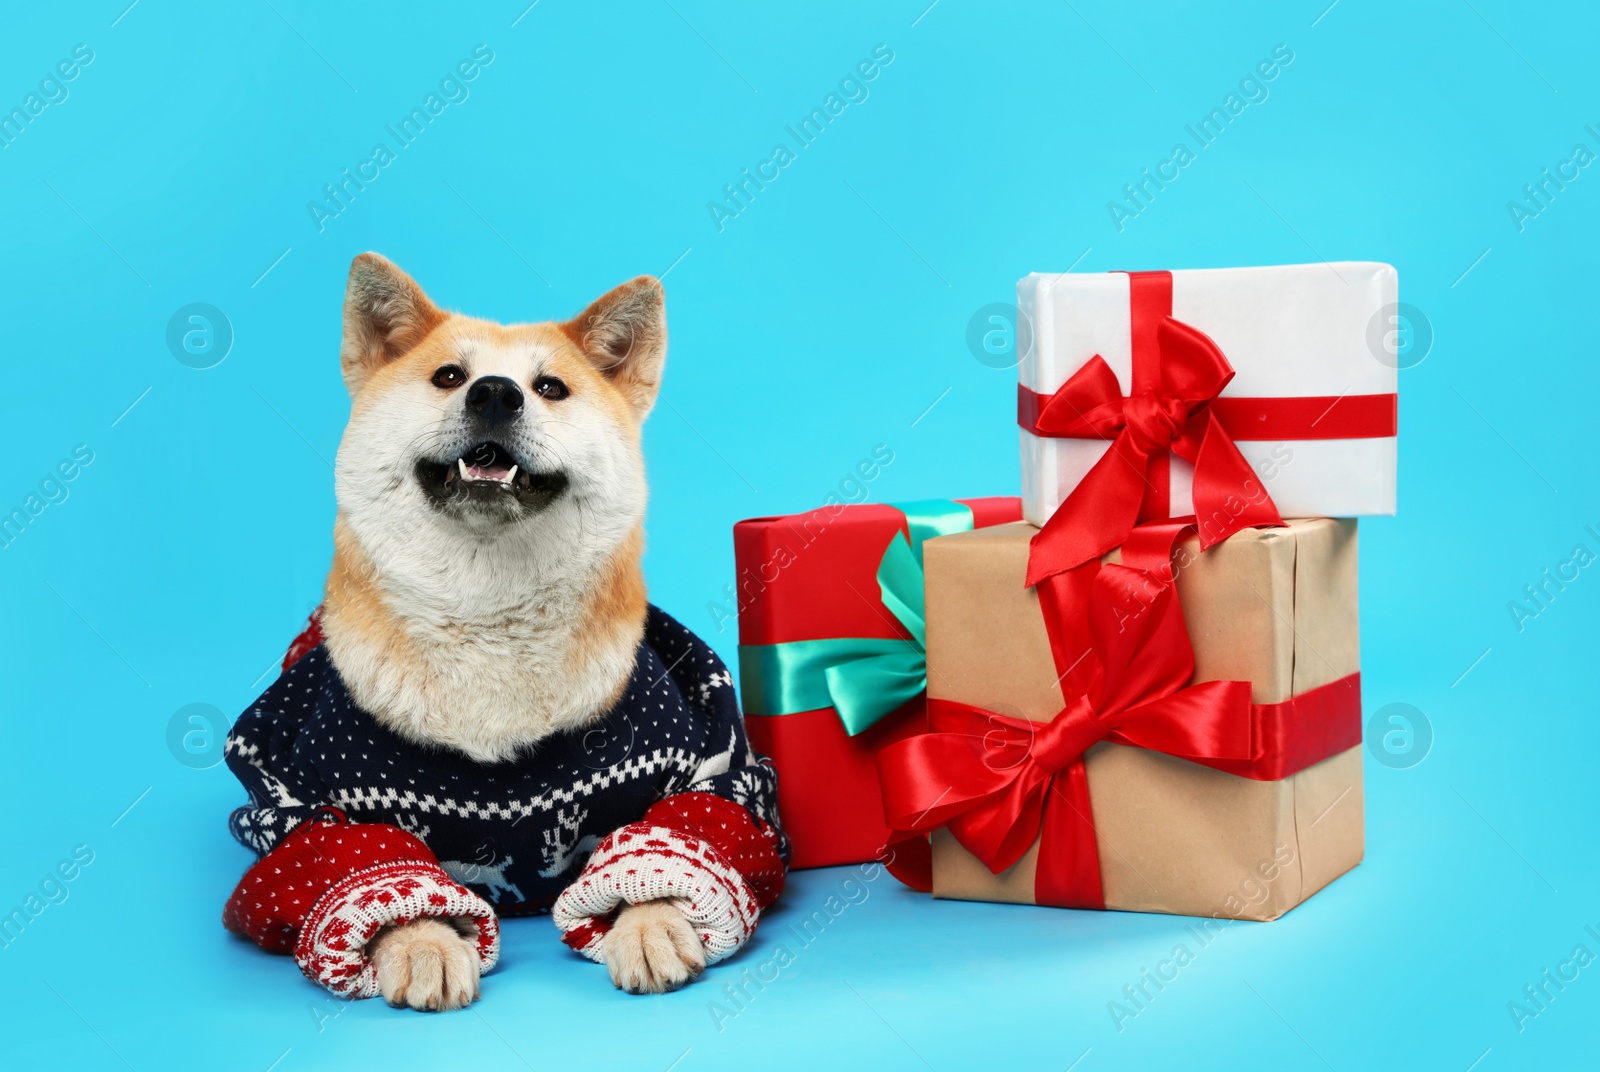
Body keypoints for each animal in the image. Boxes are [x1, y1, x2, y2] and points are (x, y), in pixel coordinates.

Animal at [224, 256, 787, 1011]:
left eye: (550, 387)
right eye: (448, 376)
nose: (496, 394)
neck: (488, 615)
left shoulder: (714, 767)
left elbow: (676, 834)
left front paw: (650, 920)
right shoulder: (298, 804)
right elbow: (365, 862)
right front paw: (422, 941)